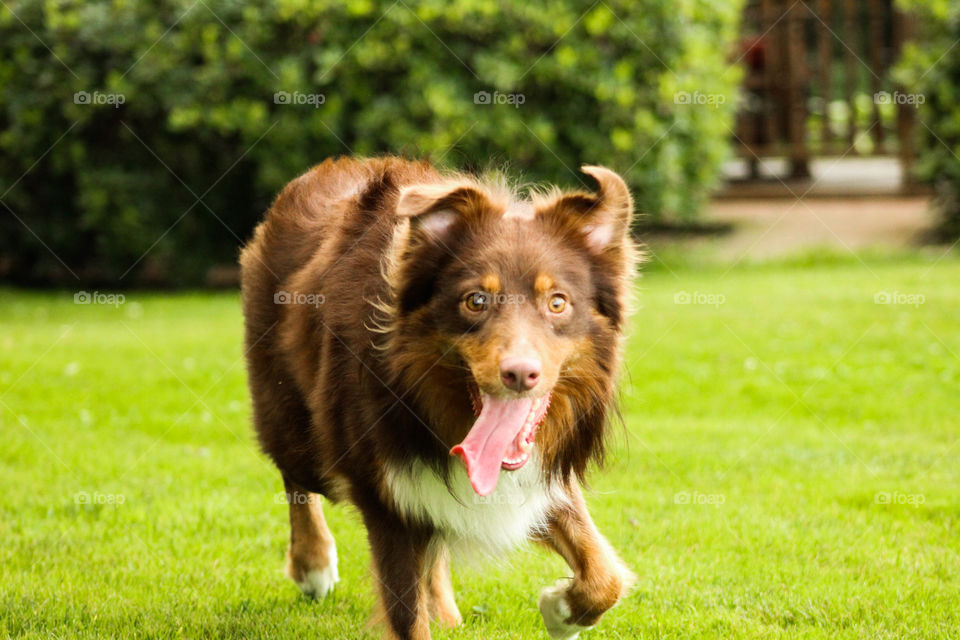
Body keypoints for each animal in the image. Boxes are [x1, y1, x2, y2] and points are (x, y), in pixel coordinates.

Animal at [242, 156, 636, 640]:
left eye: (558, 303)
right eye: (475, 301)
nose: (520, 374)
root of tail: (321, 171)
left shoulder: (534, 479)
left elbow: (605, 576)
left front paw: (560, 611)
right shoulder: (387, 500)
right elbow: (407, 614)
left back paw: (445, 609)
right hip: (296, 424)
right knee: (296, 478)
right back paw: (313, 566)